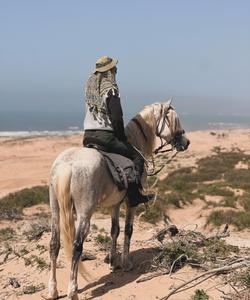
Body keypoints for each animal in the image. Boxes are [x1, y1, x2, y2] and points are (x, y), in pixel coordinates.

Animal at [47, 99, 189, 298]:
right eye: (174, 120)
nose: (186, 142)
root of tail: (69, 164)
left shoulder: (114, 204)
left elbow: (114, 230)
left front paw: (113, 261)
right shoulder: (131, 203)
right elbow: (128, 230)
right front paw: (126, 262)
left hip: (55, 209)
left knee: (54, 244)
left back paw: (52, 289)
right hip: (84, 213)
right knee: (76, 246)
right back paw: (72, 291)